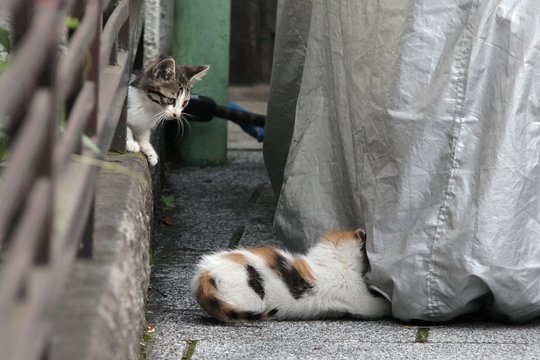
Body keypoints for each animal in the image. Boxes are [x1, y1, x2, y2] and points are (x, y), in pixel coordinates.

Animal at [192, 229, 390, 322]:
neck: (332, 260)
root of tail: (205, 271)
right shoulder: (358, 299)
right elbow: (376, 306)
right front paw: (389, 304)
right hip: (250, 299)